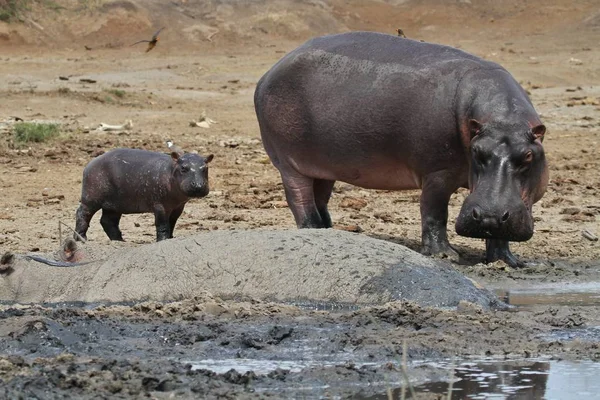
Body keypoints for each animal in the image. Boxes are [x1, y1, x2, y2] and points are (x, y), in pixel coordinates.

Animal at [76, 146, 213, 241]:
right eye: (183, 168)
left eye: (205, 168)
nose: (199, 185)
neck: (172, 170)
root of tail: (90, 163)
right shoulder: (160, 205)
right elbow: (162, 224)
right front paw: (162, 240)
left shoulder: (178, 206)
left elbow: (172, 223)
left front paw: (170, 238)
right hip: (91, 198)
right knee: (82, 213)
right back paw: (81, 239)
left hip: (114, 204)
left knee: (108, 221)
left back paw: (119, 240)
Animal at [253, 32, 548, 268]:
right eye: (476, 152)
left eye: (528, 155)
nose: (486, 217)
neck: (501, 121)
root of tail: (268, 73)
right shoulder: (437, 173)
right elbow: (434, 212)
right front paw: (444, 255)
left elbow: (501, 231)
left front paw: (508, 261)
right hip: (289, 163)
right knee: (300, 198)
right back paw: (312, 228)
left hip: (324, 165)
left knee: (320, 197)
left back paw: (328, 231)